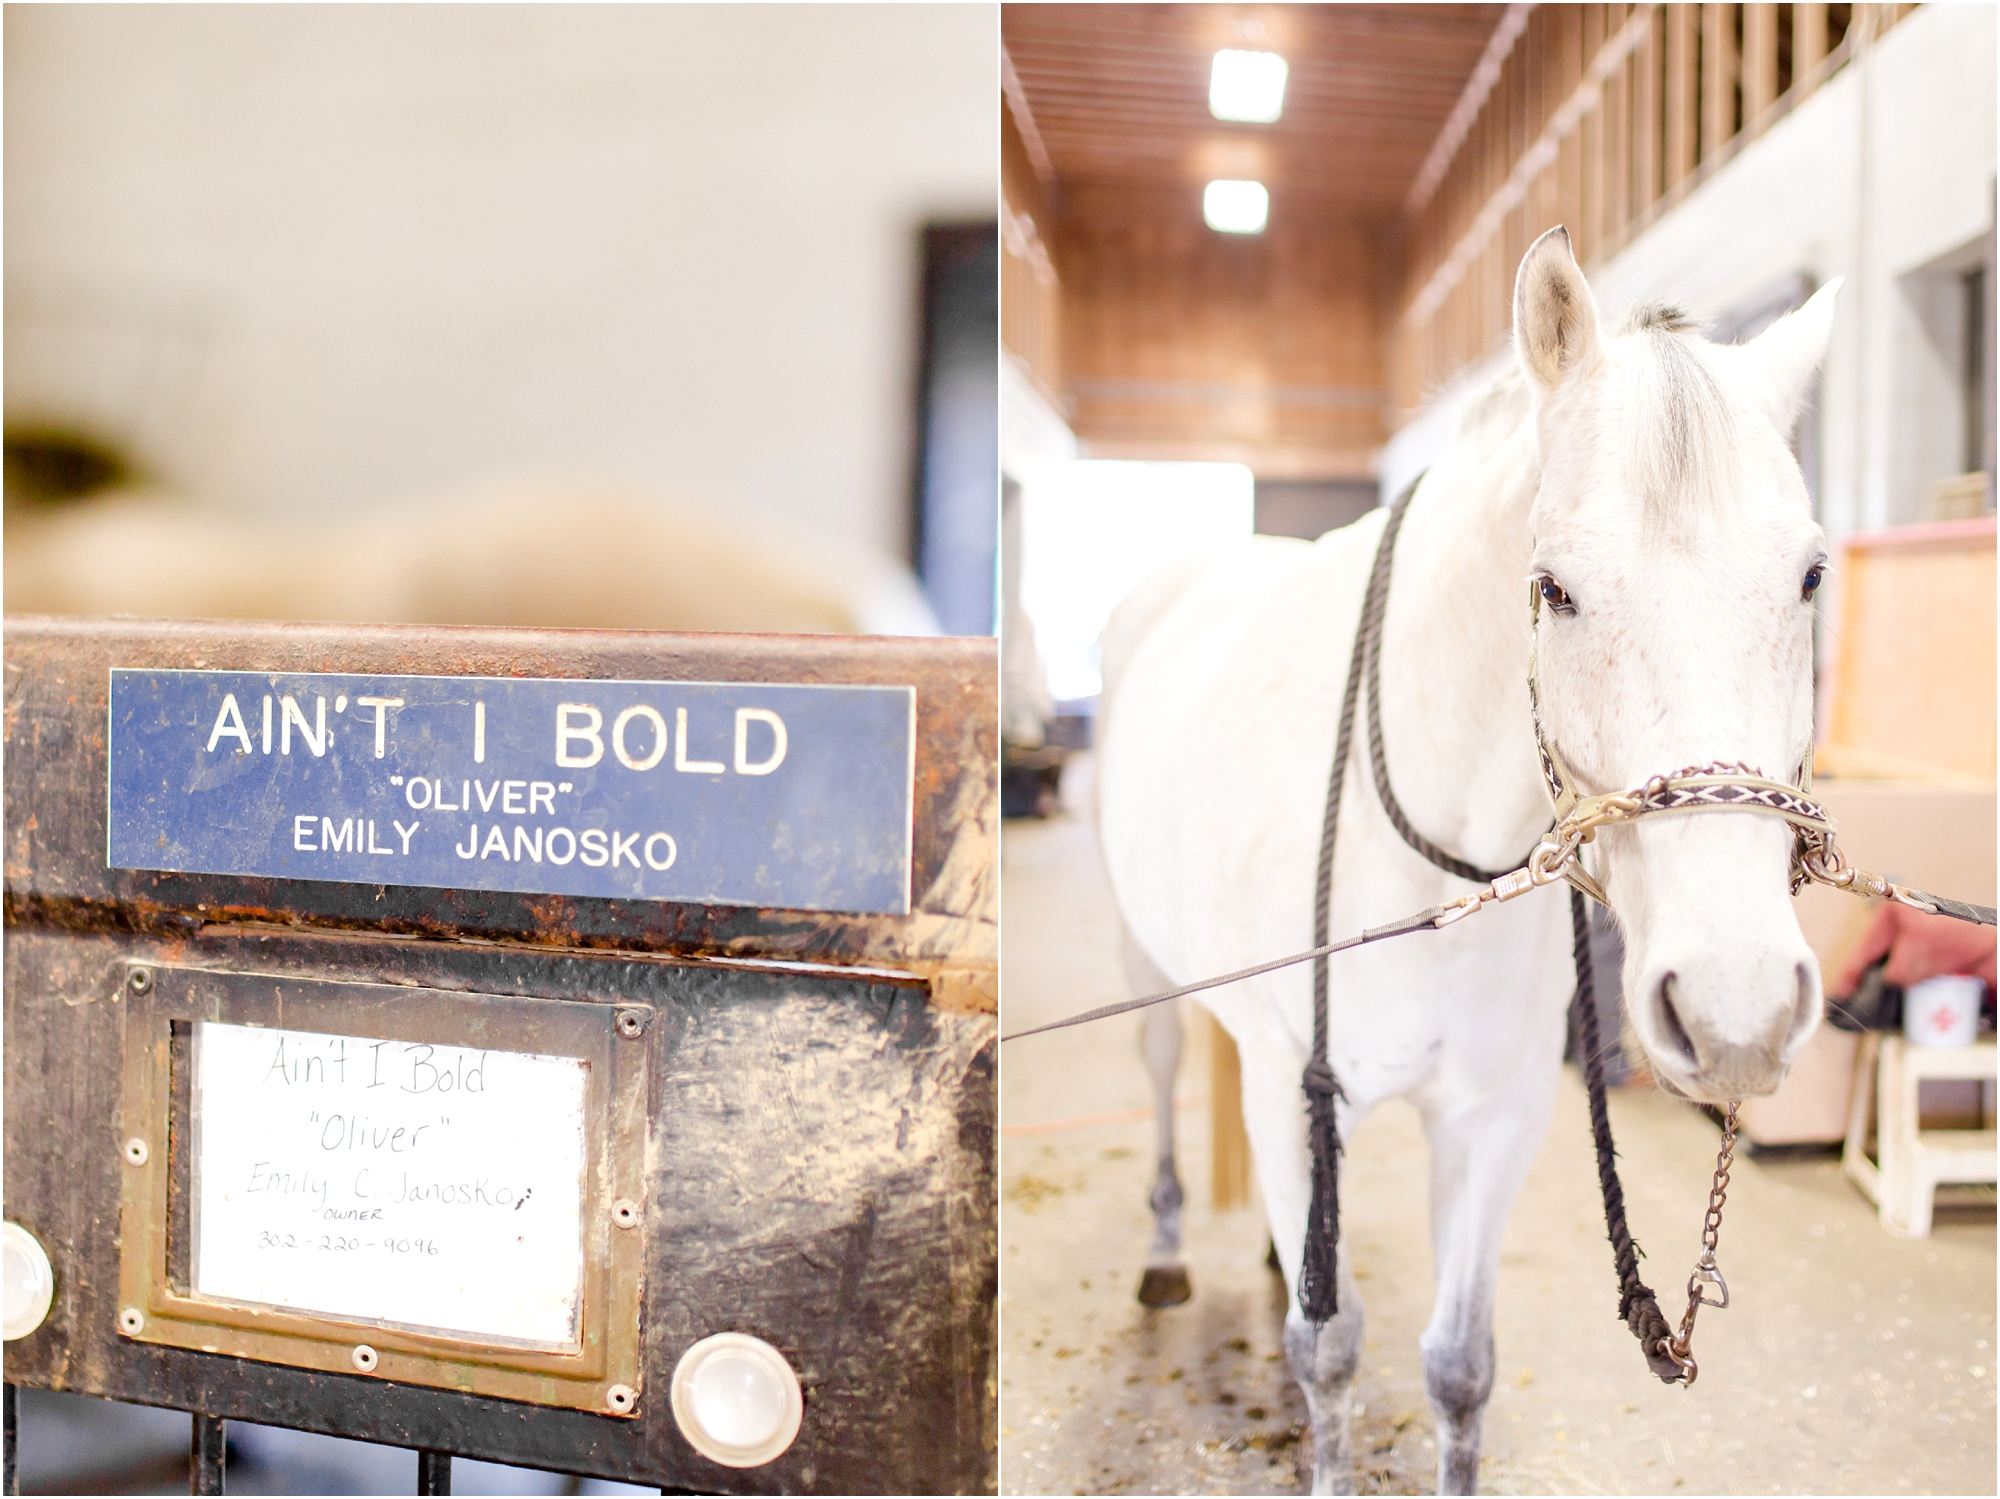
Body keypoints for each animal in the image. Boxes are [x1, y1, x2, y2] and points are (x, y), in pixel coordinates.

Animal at [1104, 228, 1832, 1495]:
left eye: (1807, 577)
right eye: (1553, 588)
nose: (1734, 1007)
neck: (1428, 878)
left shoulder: (1492, 1115)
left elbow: (1457, 1365)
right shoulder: (1297, 1092)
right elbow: (1325, 1349)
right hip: (1146, 968)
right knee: (1159, 1069)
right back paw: (1164, 1247)